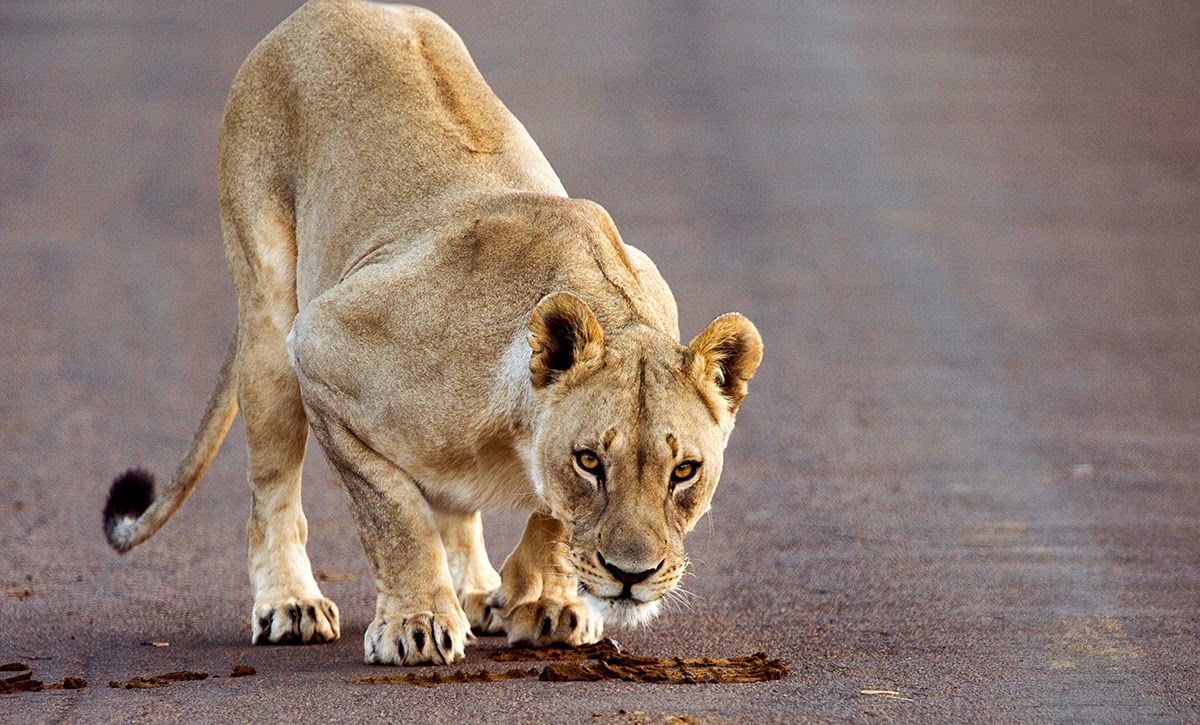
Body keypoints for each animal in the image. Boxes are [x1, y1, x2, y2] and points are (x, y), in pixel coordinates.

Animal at [103, 0, 762, 666]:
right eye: (589, 461)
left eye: (685, 471)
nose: (632, 575)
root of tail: (324, 8)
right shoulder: (320, 347)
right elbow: (395, 517)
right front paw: (416, 623)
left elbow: (549, 520)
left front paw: (538, 598)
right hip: (268, 318)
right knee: (273, 489)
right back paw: (292, 603)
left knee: (454, 506)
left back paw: (493, 596)